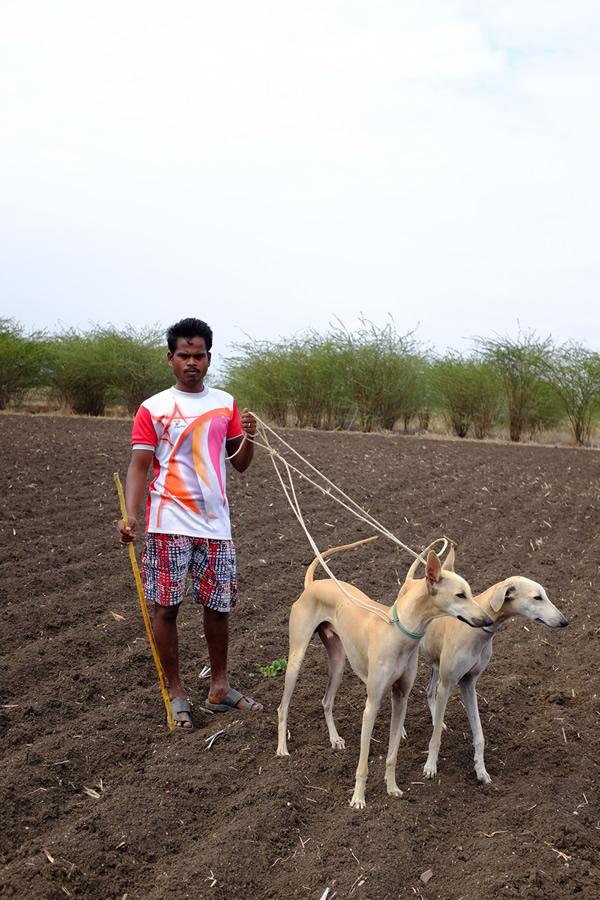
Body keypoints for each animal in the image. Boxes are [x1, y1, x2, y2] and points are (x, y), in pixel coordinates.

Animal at [278, 540, 492, 808]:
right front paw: (358, 799)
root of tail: (312, 584)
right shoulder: (372, 704)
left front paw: (392, 788)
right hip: (296, 659)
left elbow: (392, 754)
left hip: (338, 661)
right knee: (283, 706)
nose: (488, 620)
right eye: (460, 595)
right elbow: (363, 763)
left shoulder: (400, 697)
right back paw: (282, 749)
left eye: (471, 593)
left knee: (326, 701)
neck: (399, 631)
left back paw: (335, 739)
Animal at [398, 548, 568, 780]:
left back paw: (436, 719)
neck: (477, 630)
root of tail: (410, 582)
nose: (564, 622)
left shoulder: (468, 682)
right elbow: (435, 738)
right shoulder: (449, 684)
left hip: (436, 665)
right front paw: (430, 766)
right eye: (537, 597)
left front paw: (481, 770)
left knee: (430, 690)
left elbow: (479, 735)